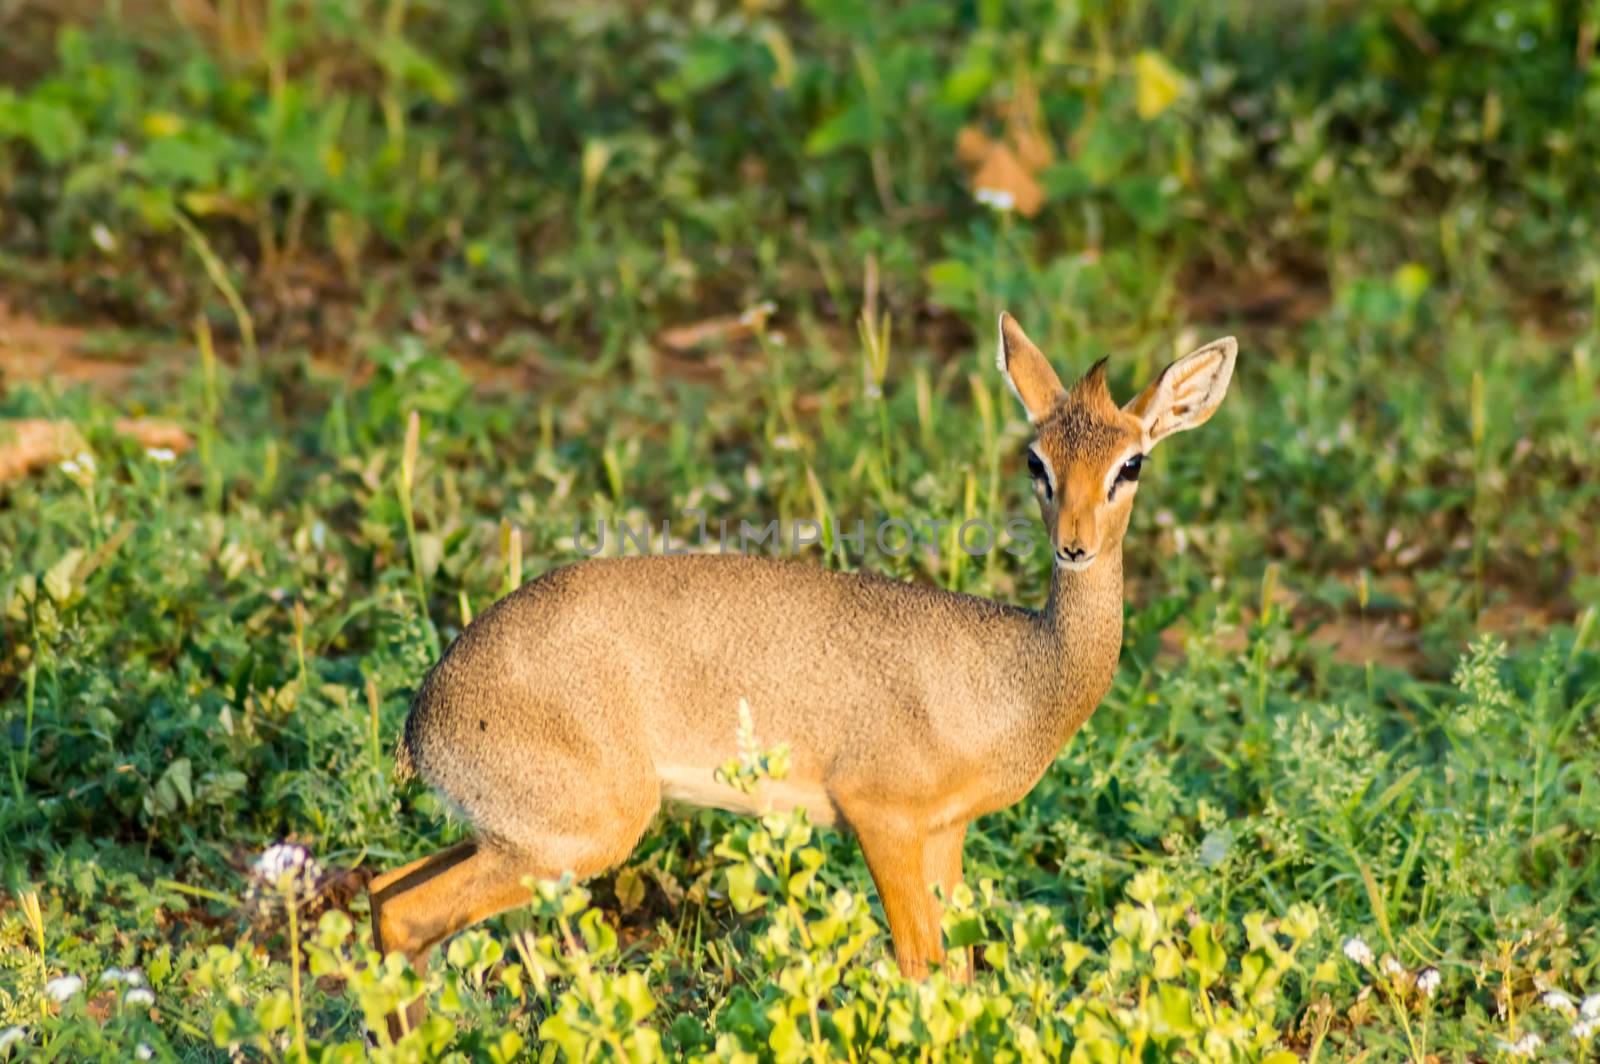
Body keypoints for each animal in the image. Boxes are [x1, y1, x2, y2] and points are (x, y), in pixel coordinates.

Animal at [371, 312, 1235, 1017]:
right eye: (1036, 461)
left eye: (1132, 463)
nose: (1074, 546)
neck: (1019, 674)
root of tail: (424, 719)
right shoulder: (882, 817)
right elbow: (922, 968)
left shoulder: (946, 833)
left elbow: (959, 975)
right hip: (573, 836)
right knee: (405, 915)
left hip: (514, 836)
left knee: (385, 897)